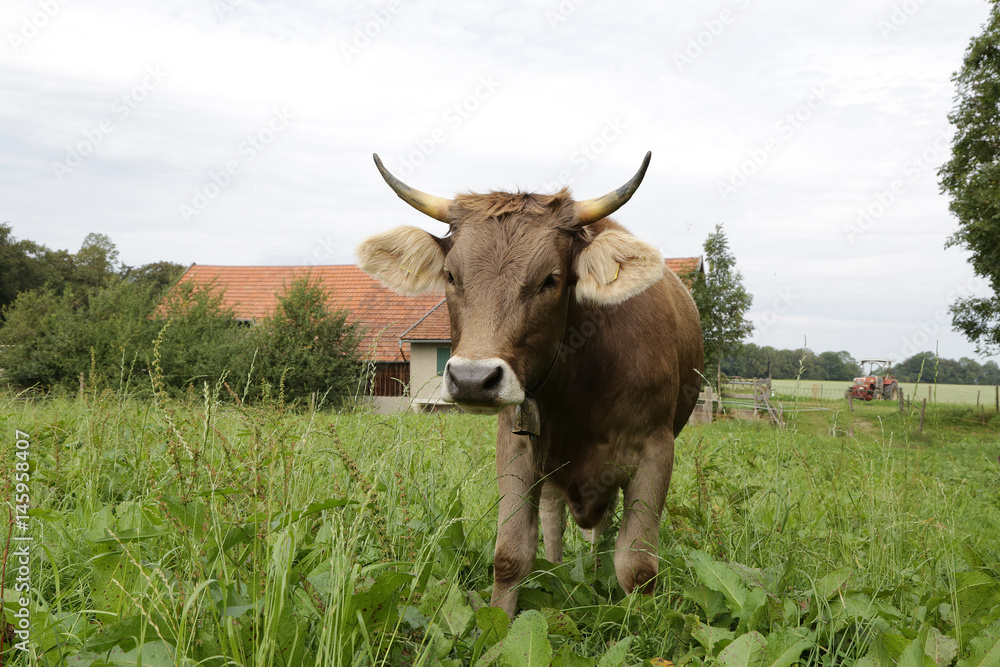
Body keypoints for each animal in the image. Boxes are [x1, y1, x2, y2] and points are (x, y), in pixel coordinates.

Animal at [358, 153, 704, 620]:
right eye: (450, 275)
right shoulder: (517, 446)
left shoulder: (655, 450)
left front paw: (642, 626)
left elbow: (637, 568)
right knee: (556, 521)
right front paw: (500, 623)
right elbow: (511, 554)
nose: (472, 380)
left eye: (551, 279)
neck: (579, 388)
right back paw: (558, 574)